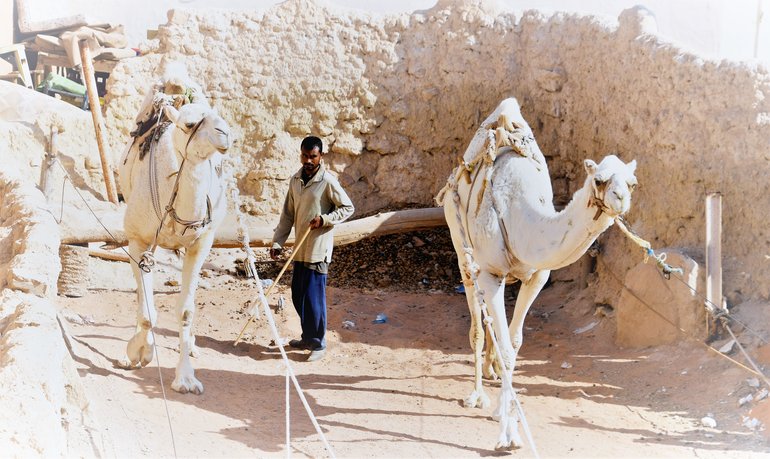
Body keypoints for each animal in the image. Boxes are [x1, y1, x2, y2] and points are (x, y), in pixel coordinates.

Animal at [117, 64, 231, 396]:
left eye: (218, 116)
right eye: (190, 124)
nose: (225, 133)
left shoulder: (200, 243)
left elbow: (185, 311)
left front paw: (186, 378)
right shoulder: (138, 240)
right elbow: (147, 309)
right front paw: (138, 352)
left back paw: (191, 344)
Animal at [436, 98, 640, 450]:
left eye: (632, 183)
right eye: (599, 180)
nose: (621, 199)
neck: (523, 215)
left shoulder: (537, 277)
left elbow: (515, 341)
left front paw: (504, 412)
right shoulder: (491, 273)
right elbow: (505, 343)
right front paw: (508, 434)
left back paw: (491, 373)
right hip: (460, 243)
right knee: (476, 322)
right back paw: (477, 395)